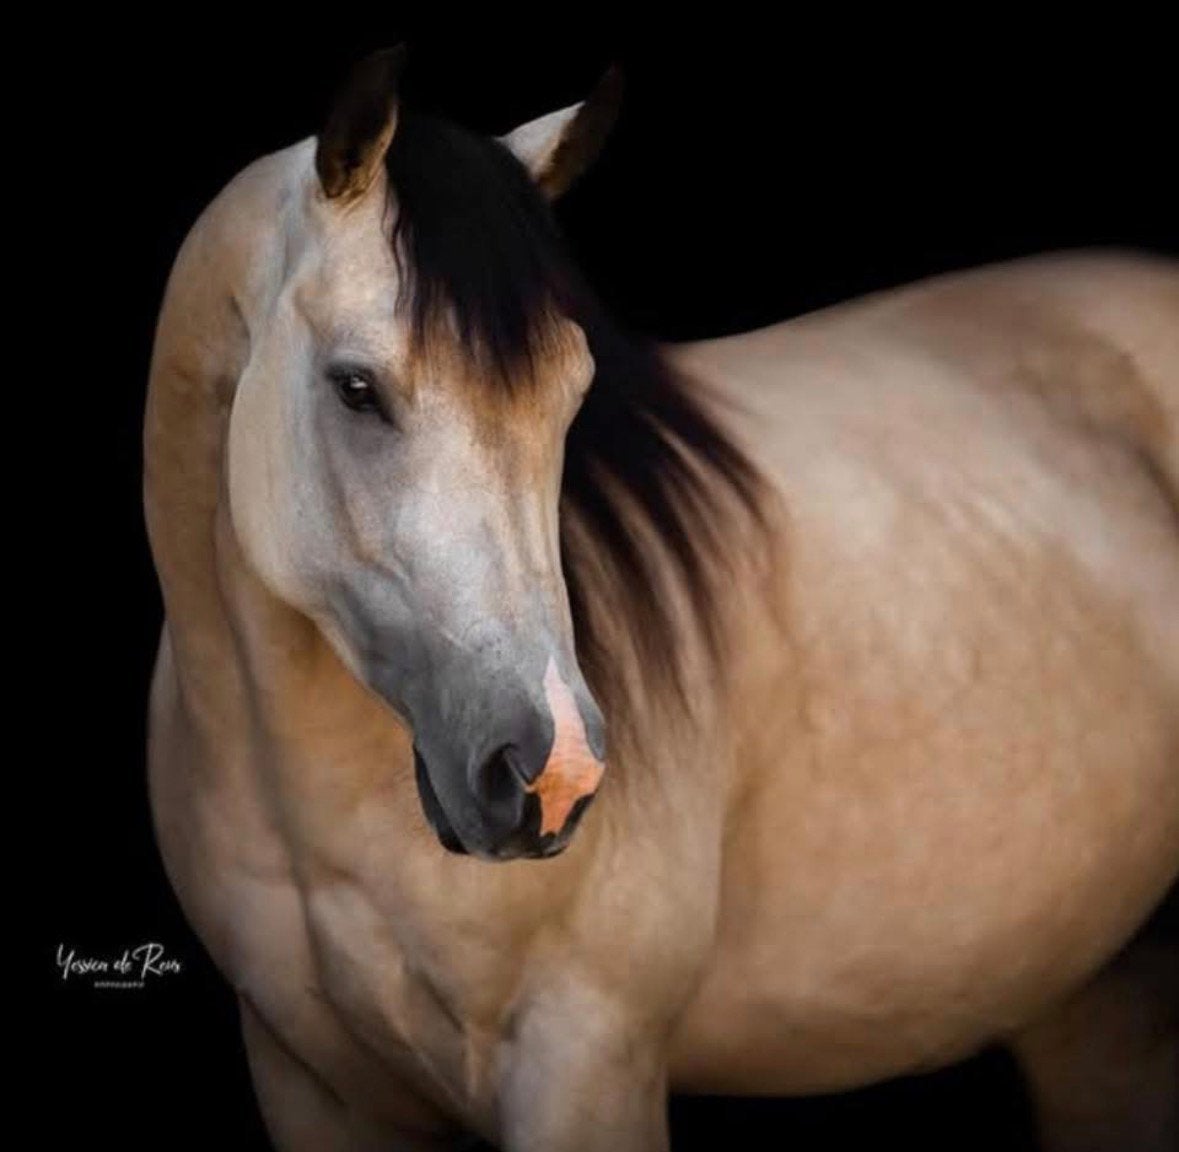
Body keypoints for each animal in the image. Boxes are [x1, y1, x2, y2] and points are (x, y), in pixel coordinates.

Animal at [143, 47, 1179, 1151]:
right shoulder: (309, 1085)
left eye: (570, 393)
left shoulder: (585, 1064)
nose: (550, 771)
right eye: (354, 388)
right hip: (1097, 1007)